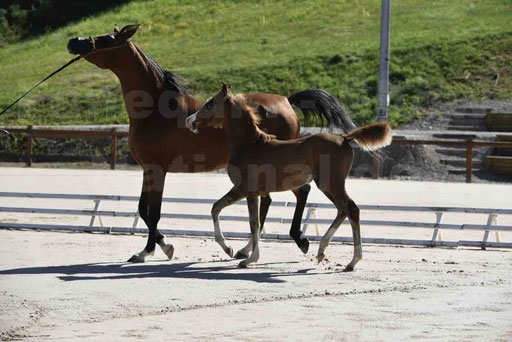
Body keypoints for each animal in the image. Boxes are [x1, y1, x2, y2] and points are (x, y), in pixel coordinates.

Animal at [66, 25, 358, 264]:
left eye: (106, 38)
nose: (74, 42)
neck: (156, 108)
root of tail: (286, 100)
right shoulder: (147, 169)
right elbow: (143, 210)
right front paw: (158, 247)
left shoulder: (158, 169)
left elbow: (154, 212)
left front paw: (154, 250)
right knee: (271, 200)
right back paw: (249, 249)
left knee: (297, 193)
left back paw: (294, 241)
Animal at [187, 84, 392, 272]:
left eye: (210, 104)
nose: (190, 121)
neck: (250, 145)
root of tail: (344, 138)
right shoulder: (254, 193)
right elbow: (254, 222)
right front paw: (248, 256)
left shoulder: (243, 188)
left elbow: (219, 209)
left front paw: (235, 251)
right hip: (326, 184)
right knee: (343, 210)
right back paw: (321, 251)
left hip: (331, 183)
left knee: (352, 209)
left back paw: (352, 261)